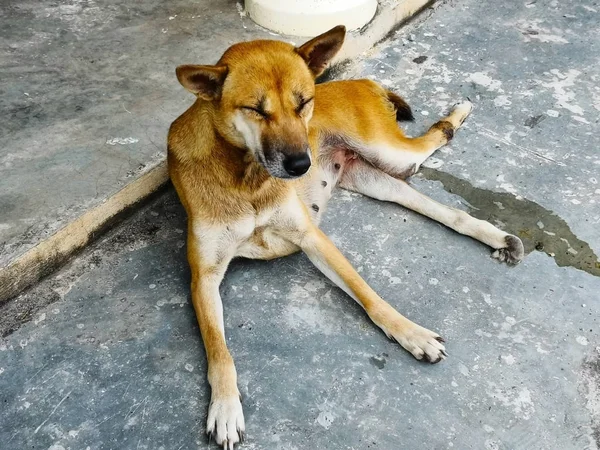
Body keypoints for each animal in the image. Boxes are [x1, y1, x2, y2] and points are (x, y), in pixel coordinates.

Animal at [169, 26, 524, 448]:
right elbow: (219, 351)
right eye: (256, 109)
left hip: (390, 152)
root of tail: (359, 81)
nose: (301, 164)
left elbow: (369, 296)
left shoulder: (312, 239)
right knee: (444, 209)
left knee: (434, 138)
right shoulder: (203, 277)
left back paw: (460, 110)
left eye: (303, 103)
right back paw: (497, 236)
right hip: (377, 180)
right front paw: (224, 407)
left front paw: (411, 333)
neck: (247, 177)